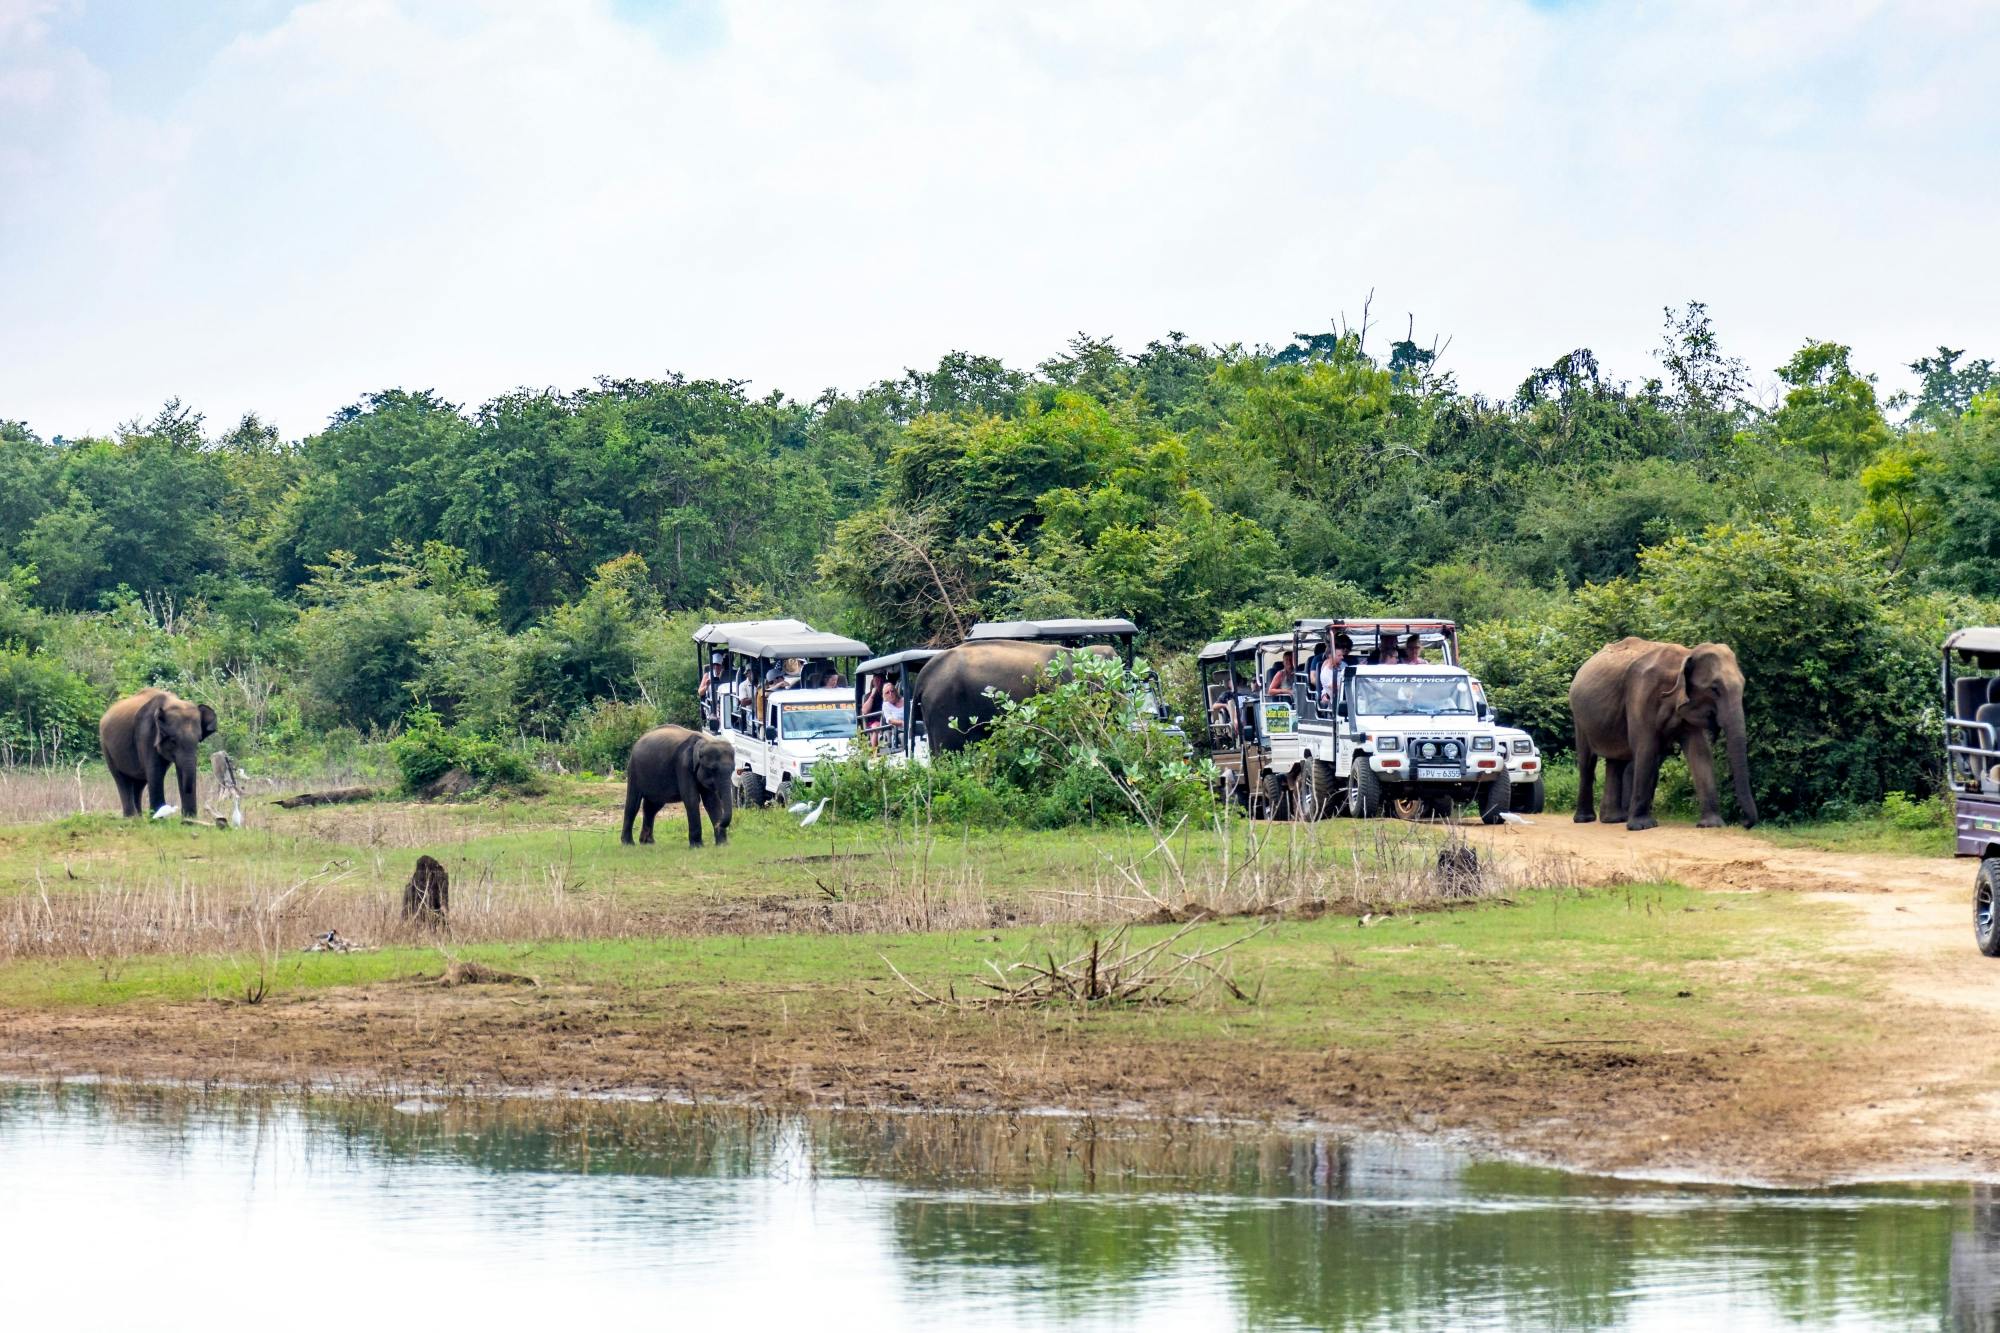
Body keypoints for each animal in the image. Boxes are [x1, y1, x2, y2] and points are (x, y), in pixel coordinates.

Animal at [98, 688, 218, 816]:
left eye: (198, 740)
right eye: (173, 741)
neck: (172, 703)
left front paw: (189, 818)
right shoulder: (146, 734)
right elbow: (155, 771)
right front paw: (158, 816)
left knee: (139, 782)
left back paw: (139, 817)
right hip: (106, 746)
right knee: (122, 779)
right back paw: (131, 816)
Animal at [1568, 632, 1760, 832]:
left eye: (1743, 685)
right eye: (1714, 689)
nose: (1744, 822)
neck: (1686, 655)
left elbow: (1699, 751)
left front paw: (1712, 825)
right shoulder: (1641, 693)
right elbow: (1646, 747)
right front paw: (1642, 826)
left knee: (1616, 762)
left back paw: (1613, 819)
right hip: (1579, 716)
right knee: (1587, 762)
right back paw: (1585, 819)